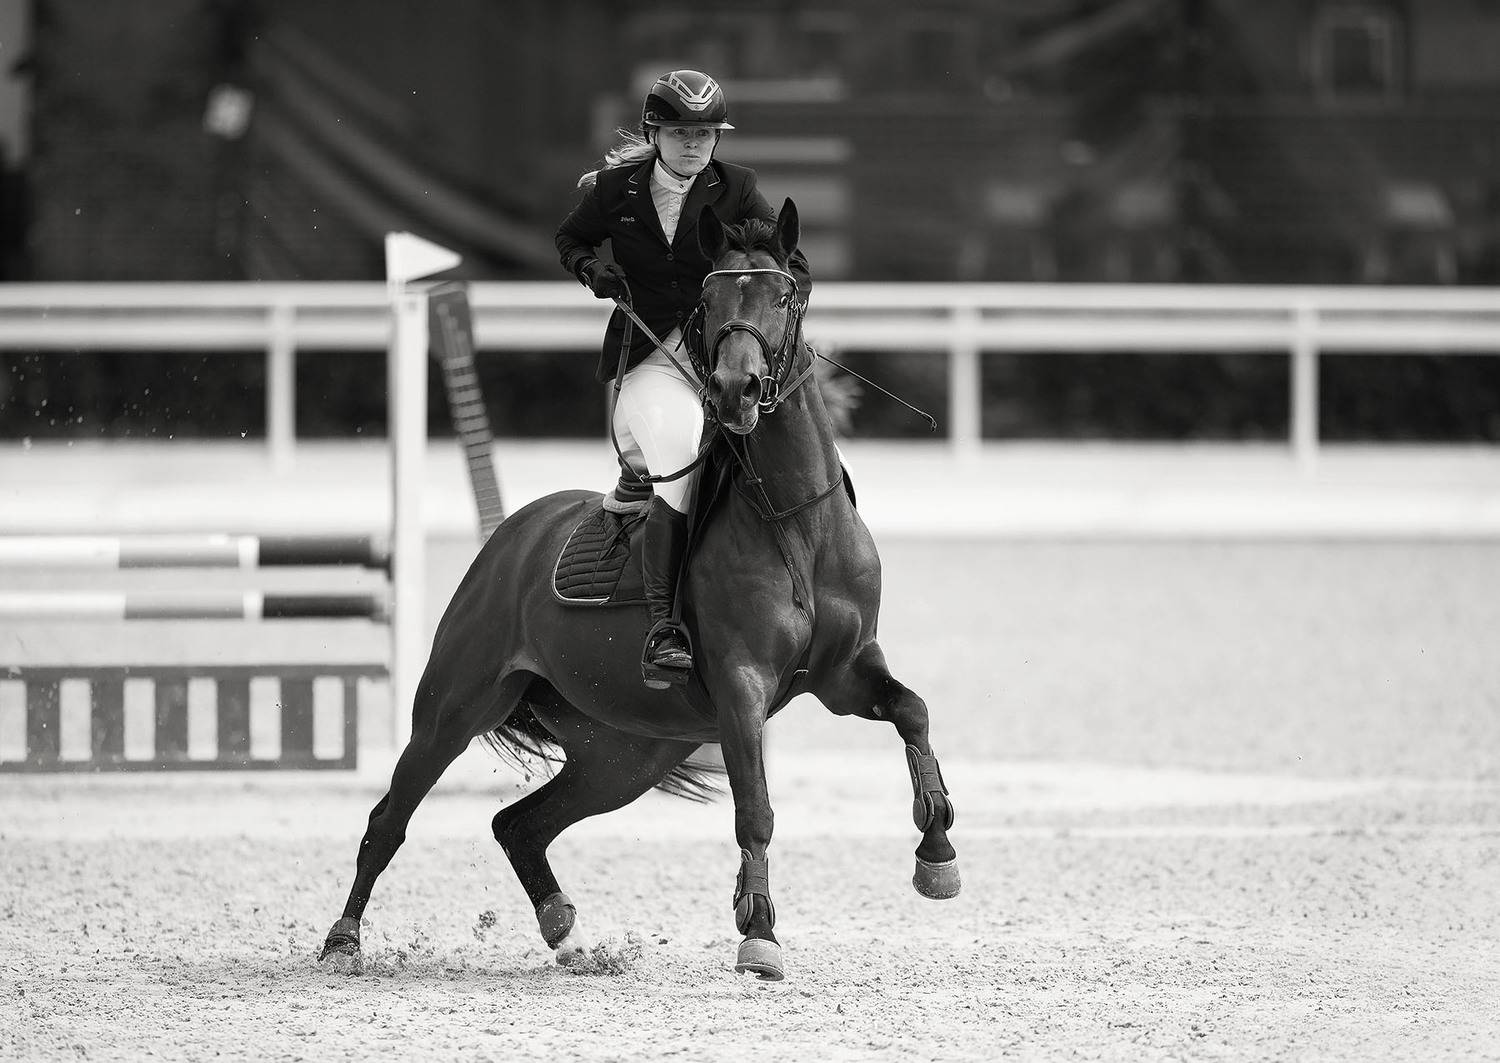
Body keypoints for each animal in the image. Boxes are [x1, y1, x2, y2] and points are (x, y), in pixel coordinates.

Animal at [319, 198, 960, 981]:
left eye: (783, 297)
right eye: (710, 301)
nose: (735, 390)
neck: (796, 518)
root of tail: (512, 536)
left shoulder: (843, 673)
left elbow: (913, 711)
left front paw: (937, 853)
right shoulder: (743, 685)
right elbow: (755, 809)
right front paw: (759, 933)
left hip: (626, 751)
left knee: (518, 824)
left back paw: (566, 932)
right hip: (455, 707)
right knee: (392, 817)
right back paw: (344, 939)